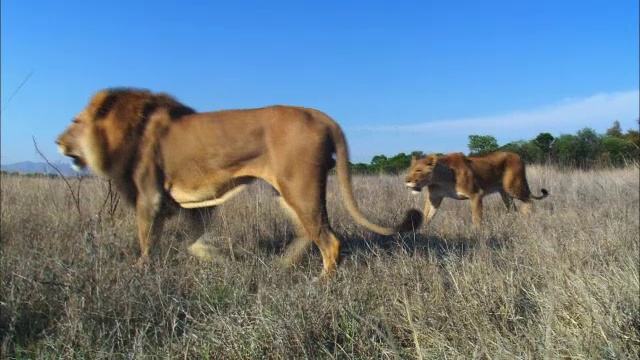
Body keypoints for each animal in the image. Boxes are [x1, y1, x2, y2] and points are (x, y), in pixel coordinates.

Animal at [57, 88, 422, 278]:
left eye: (75, 122)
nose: (58, 142)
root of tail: (319, 114)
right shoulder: (190, 204)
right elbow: (194, 239)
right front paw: (213, 258)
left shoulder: (149, 196)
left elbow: (147, 239)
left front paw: (140, 268)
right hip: (286, 192)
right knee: (309, 233)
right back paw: (283, 264)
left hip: (300, 187)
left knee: (329, 241)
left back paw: (321, 282)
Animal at [404, 152, 552, 228]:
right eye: (410, 170)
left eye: (418, 171)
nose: (406, 180)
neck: (440, 179)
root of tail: (518, 156)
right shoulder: (434, 198)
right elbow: (427, 215)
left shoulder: (476, 195)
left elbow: (476, 218)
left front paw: (478, 234)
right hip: (504, 193)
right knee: (513, 207)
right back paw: (513, 220)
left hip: (512, 186)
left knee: (529, 201)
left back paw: (524, 216)